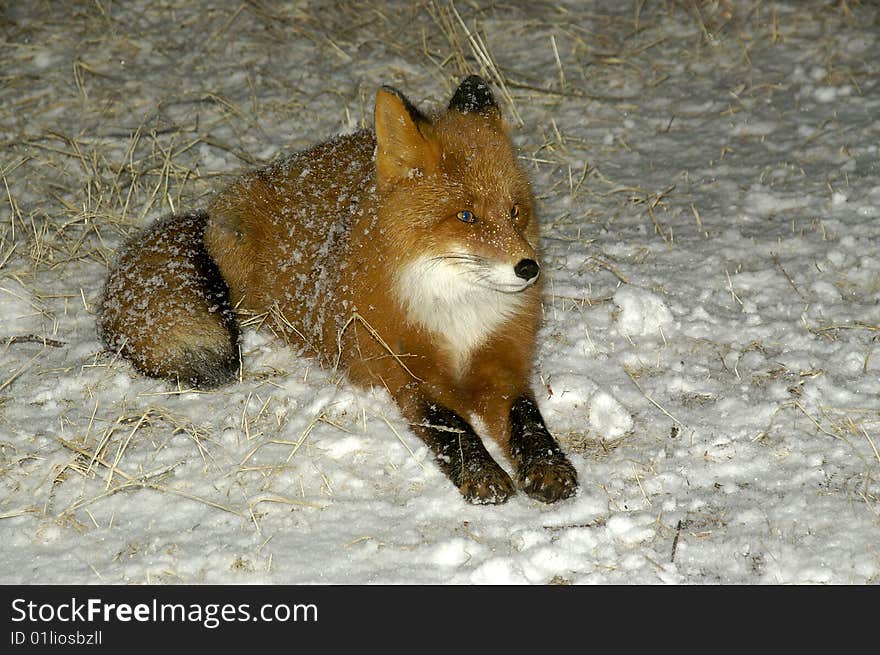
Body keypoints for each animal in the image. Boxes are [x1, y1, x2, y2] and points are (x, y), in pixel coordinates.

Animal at [99, 78, 576, 508]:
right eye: (466, 217)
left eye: (514, 212)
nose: (528, 269)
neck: (457, 315)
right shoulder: (406, 371)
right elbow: (450, 426)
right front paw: (482, 473)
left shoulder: (504, 362)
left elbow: (528, 420)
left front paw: (548, 465)